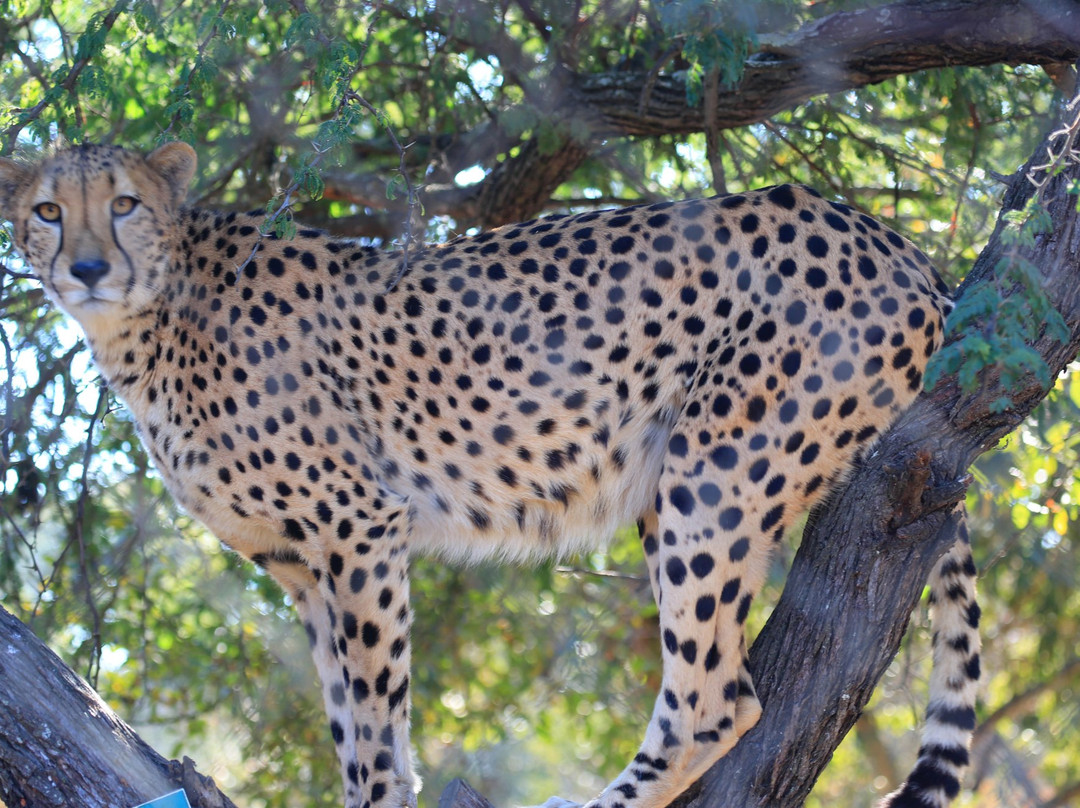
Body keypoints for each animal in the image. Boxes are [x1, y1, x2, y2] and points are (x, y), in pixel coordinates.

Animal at [0, 144, 980, 808]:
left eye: (125, 202)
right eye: (47, 211)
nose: (87, 267)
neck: (153, 316)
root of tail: (891, 238)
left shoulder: (361, 527)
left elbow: (377, 717)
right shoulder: (301, 567)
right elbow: (348, 718)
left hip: (714, 476)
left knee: (716, 700)